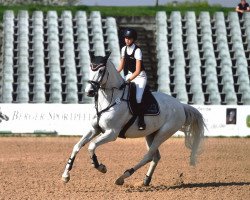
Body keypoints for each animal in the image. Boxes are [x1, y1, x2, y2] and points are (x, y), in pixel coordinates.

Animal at [61, 51, 206, 186]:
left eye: (101, 70)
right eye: (91, 68)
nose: (89, 91)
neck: (111, 99)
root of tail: (181, 105)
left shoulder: (111, 133)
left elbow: (91, 146)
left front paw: (100, 167)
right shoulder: (94, 129)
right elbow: (77, 146)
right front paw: (65, 176)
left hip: (163, 133)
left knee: (148, 156)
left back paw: (123, 177)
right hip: (151, 134)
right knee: (155, 157)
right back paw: (145, 180)